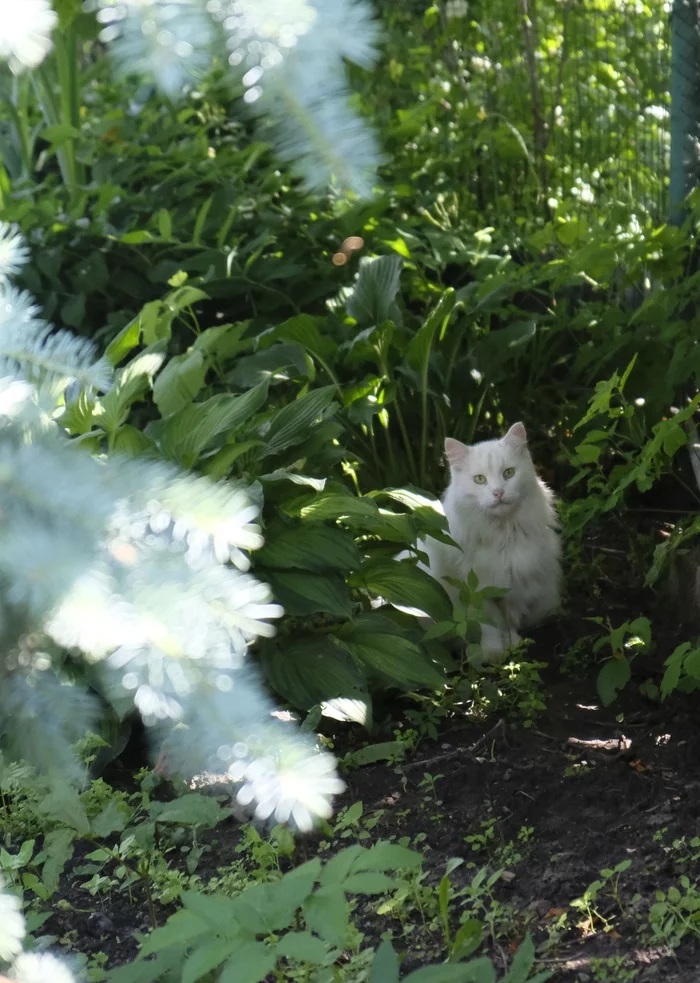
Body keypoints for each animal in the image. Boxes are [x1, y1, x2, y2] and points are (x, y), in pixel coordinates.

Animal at [418, 420, 560, 660]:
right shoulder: (475, 591)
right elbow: (488, 624)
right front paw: (492, 652)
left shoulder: (515, 585)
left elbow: (508, 620)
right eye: (479, 480)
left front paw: (513, 644)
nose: (498, 492)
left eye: (509, 473)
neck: (503, 535)